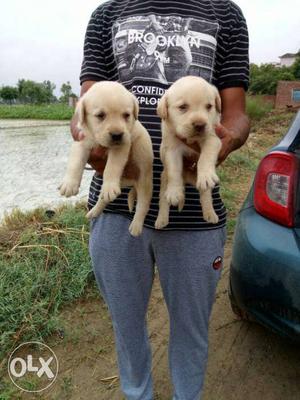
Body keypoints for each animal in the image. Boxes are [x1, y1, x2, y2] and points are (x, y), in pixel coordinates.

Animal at [58, 81, 154, 238]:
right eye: (100, 115)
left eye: (126, 115)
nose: (117, 135)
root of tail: (130, 182)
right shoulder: (81, 141)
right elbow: (75, 162)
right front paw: (69, 184)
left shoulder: (122, 147)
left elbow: (111, 167)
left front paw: (109, 186)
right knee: (103, 199)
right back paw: (94, 211)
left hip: (145, 181)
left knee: (142, 205)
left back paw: (136, 226)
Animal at [156, 76, 221, 230]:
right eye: (183, 107)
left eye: (209, 106)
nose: (200, 125)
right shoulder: (171, 149)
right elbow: (174, 171)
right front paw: (174, 192)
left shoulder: (212, 138)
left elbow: (205, 156)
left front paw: (206, 175)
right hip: (163, 179)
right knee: (163, 200)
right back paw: (161, 220)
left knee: (206, 195)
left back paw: (210, 214)